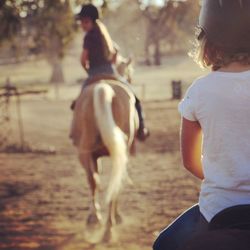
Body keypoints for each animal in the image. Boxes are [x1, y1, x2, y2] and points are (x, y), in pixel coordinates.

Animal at [70, 78, 139, 240]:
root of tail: (104, 87)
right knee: (112, 182)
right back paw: (109, 225)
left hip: (84, 153)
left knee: (94, 180)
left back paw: (98, 218)